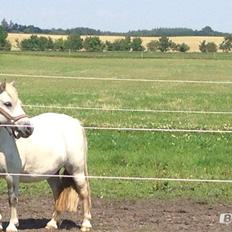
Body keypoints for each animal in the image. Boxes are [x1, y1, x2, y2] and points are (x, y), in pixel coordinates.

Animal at [0, 82, 92, 231]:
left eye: (19, 102)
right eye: (7, 103)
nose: (28, 129)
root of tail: (76, 122)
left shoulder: (12, 176)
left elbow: (12, 199)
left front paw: (12, 225)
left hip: (76, 170)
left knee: (84, 193)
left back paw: (86, 224)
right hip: (52, 173)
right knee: (58, 193)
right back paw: (52, 223)